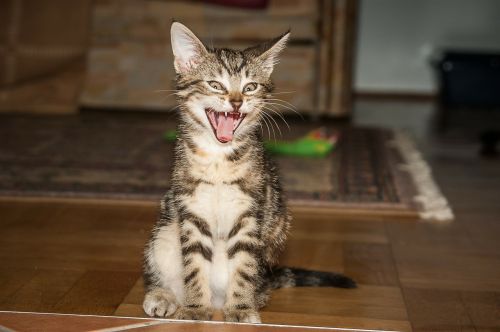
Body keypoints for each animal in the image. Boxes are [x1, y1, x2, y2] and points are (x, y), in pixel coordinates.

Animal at [142, 22, 356, 322]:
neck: (219, 158)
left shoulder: (251, 213)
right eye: (215, 85)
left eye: (250, 87)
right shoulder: (191, 211)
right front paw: (195, 309)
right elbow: (194, 264)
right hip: (164, 233)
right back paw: (163, 295)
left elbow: (243, 266)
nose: (236, 102)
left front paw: (241, 309)